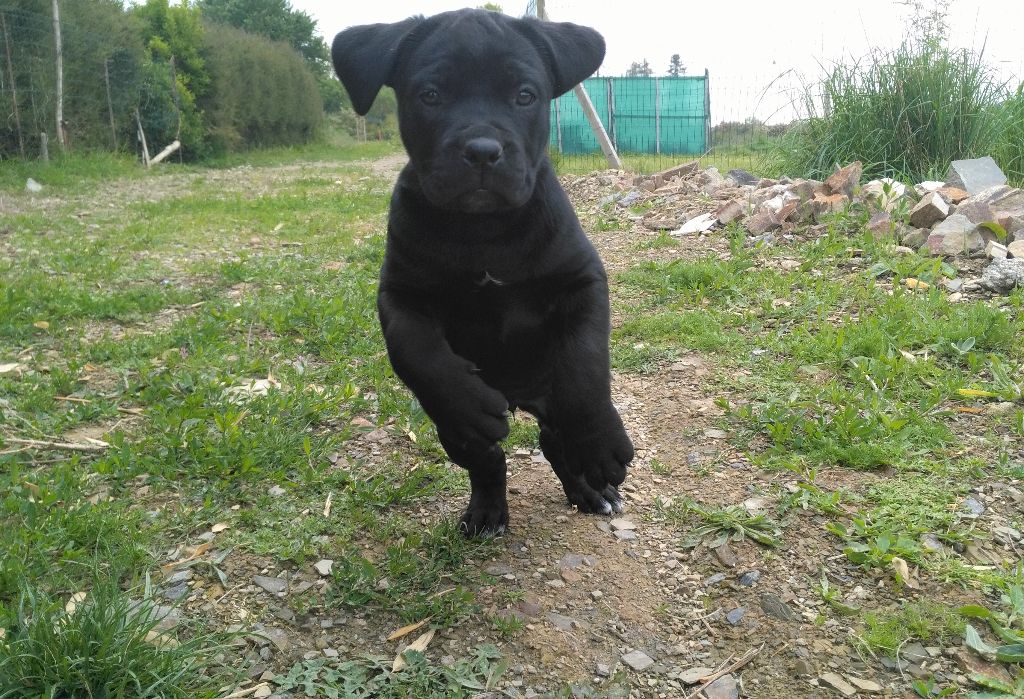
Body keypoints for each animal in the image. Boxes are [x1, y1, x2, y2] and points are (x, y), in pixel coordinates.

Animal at [331, 8, 633, 535]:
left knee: (557, 441)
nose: (482, 150)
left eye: (525, 96)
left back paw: (590, 489)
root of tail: (517, 397)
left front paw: (599, 442)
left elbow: (586, 361)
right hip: (454, 434)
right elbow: (416, 351)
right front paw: (468, 403)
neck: (484, 229)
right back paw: (488, 509)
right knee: (487, 457)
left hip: (549, 397)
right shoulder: (400, 295)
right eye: (431, 95)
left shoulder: (582, 281)